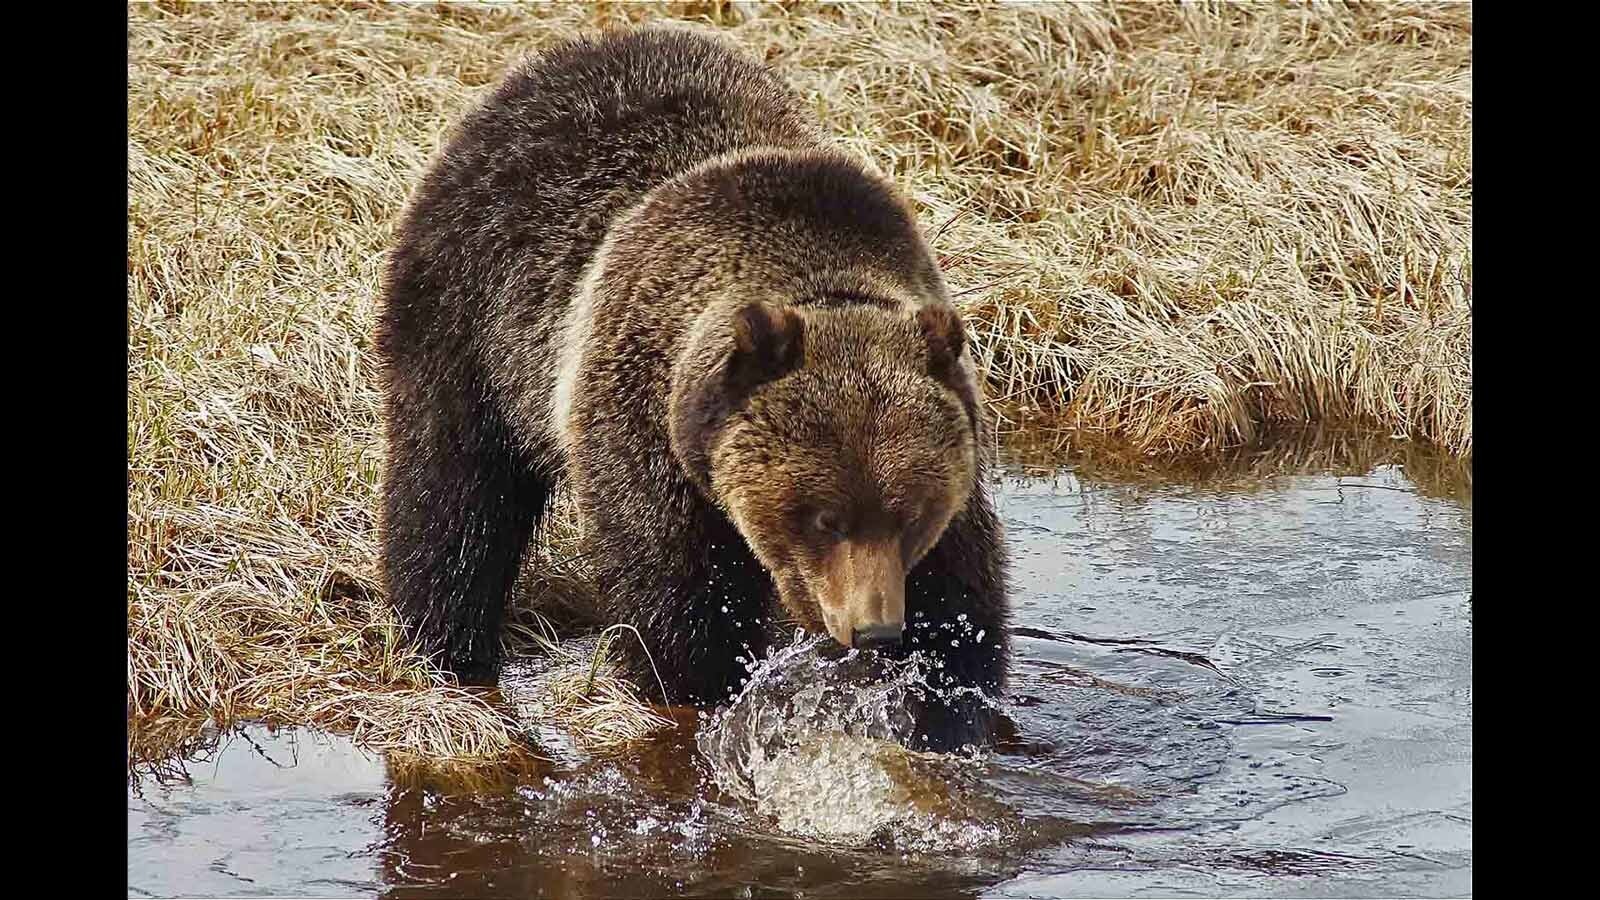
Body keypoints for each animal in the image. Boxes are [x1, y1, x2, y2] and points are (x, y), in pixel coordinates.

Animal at [376, 26, 1010, 752]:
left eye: (910, 514)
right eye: (824, 517)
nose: (873, 627)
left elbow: (960, 601)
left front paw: (942, 704)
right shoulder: (642, 421)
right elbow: (676, 596)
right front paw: (698, 687)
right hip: (471, 312)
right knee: (453, 491)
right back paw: (444, 644)